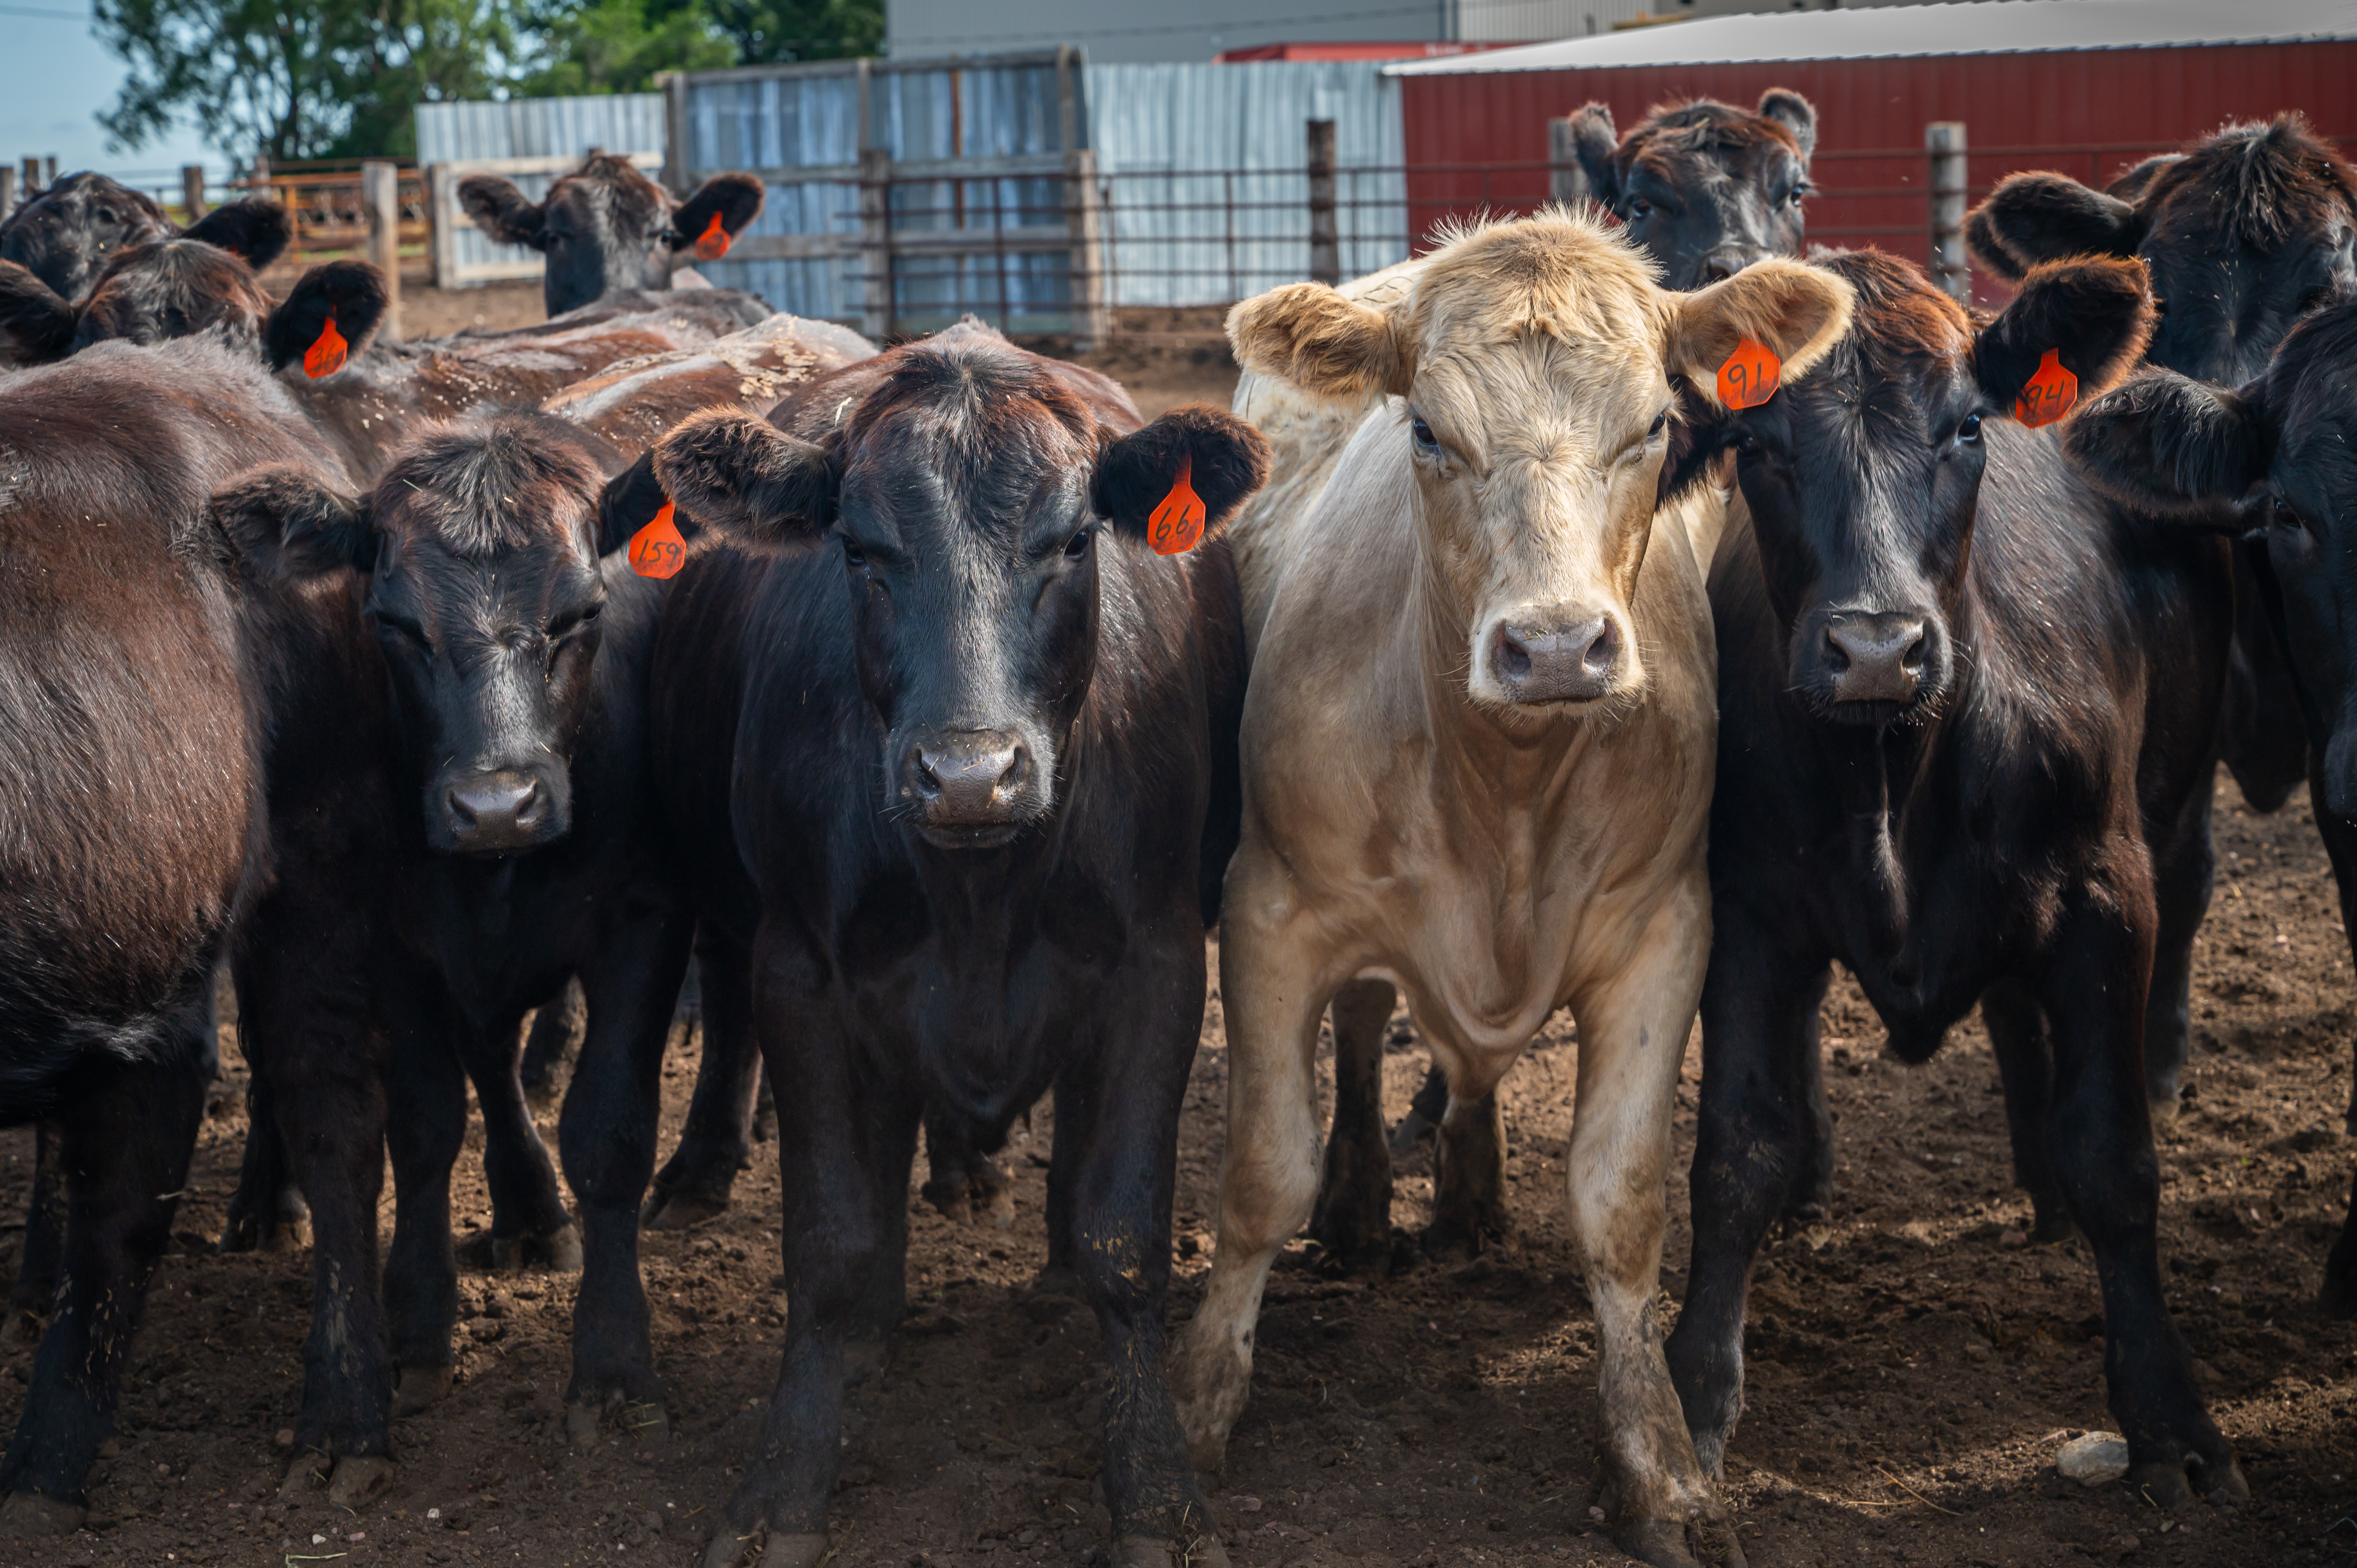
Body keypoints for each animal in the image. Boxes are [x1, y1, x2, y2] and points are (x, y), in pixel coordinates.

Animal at [0, 333, 370, 1536]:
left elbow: (121, 1234)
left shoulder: (148, 1012)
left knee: (327, 1109)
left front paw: (44, 1477)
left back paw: (343, 1427)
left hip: (311, 867)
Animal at [199, 314, 871, 1503]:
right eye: (394, 622)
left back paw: (709, 1162)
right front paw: (422, 1327)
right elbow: (427, 1123)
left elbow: (606, 1129)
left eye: (581, 612)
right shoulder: (396, 935)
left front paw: (611, 1365)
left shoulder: (643, 920)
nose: (497, 802)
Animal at [637, 318, 1263, 1568]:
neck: (982, 894)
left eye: (1072, 540)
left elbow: (1126, 1235)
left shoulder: (1160, 965)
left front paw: (1157, 1491)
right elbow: (829, 1244)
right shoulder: (801, 974)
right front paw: (785, 1484)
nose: (970, 773)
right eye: (861, 549)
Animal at [1165, 210, 1855, 1568]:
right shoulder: (1271, 914)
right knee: (1369, 1028)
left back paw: (1471, 1191)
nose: (1553, 648)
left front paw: (1658, 1469)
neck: (1506, 789)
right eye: (1429, 430)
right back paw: (1364, 1207)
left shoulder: (1663, 934)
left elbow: (1622, 1200)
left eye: (1657, 425)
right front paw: (1202, 1412)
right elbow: (1262, 1171)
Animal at [1655, 248, 2246, 1521]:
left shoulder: (2106, 901)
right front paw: (1690, 1398)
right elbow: (1738, 1153)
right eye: (1760, 440)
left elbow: (2118, 1156)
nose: (1876, 649)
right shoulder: (1750, 918)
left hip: (2175, 816)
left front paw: (2170, 1418)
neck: (1896, 774)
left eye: (1968, 425)